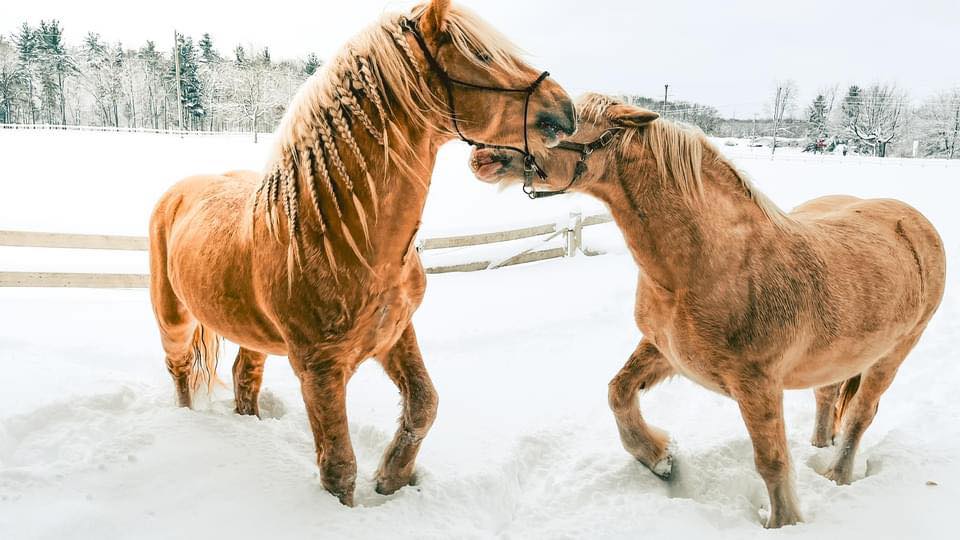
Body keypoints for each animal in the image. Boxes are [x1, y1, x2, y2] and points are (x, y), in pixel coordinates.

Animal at [146, 0, 572, 506]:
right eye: (483, 56)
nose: (566, 110)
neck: (339, 238)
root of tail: (179, 192)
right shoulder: (320, 370)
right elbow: (338, 467)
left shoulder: (395, 334)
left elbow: (424, 405)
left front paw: (392, 478)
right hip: (174, 318)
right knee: (180, 370)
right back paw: (186, 422)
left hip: (250, 332)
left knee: (244, 377)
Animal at [468, 93, 948, 528]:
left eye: (559, 121)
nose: (480, 155)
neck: (713, 262)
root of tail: (912, 220)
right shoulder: (664, 350)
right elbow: (618, 393)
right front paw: (659, 459)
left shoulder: (757, 386)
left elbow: (772, 461)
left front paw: (785, 522)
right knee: (827, 395)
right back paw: (819, 448)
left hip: (893, 353)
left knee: (861, 415)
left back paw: (837, 474)